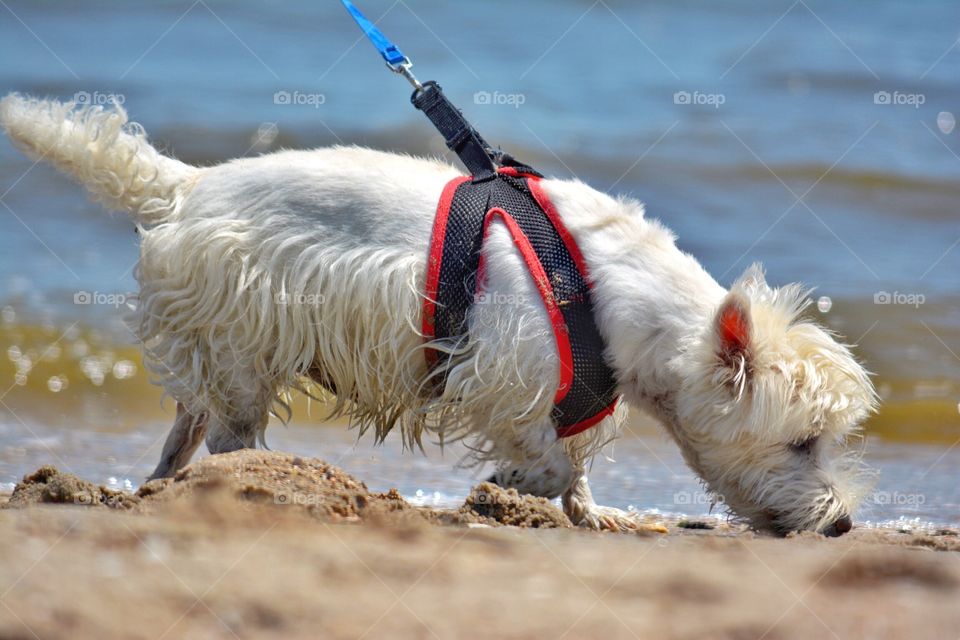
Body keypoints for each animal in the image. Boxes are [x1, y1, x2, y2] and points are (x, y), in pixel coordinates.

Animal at [0, 95, 876, 536]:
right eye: (802, 441)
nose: (839, 524)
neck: (611, 295)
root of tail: (187, 186)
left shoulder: (574, 394)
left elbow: (578, 467)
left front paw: (596, 512)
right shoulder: (503, 372)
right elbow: (545, 460)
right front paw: (508, 487)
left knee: (189, 421)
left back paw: (160, 482)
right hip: (246, 334)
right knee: (229, 430)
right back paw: (258, 478)